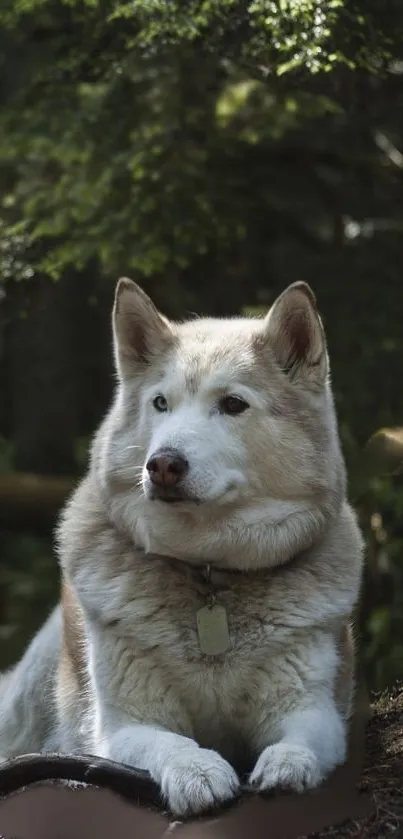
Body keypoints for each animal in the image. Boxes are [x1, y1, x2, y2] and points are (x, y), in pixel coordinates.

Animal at [0, 278, 366, 816]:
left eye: (233, 404)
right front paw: (198, 772)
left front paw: (288, 765)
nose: (162, 464)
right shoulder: (126, 725)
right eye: (161, 404)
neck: (208, 571)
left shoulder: (313, 708)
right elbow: (171, 743)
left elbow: (300, 741)